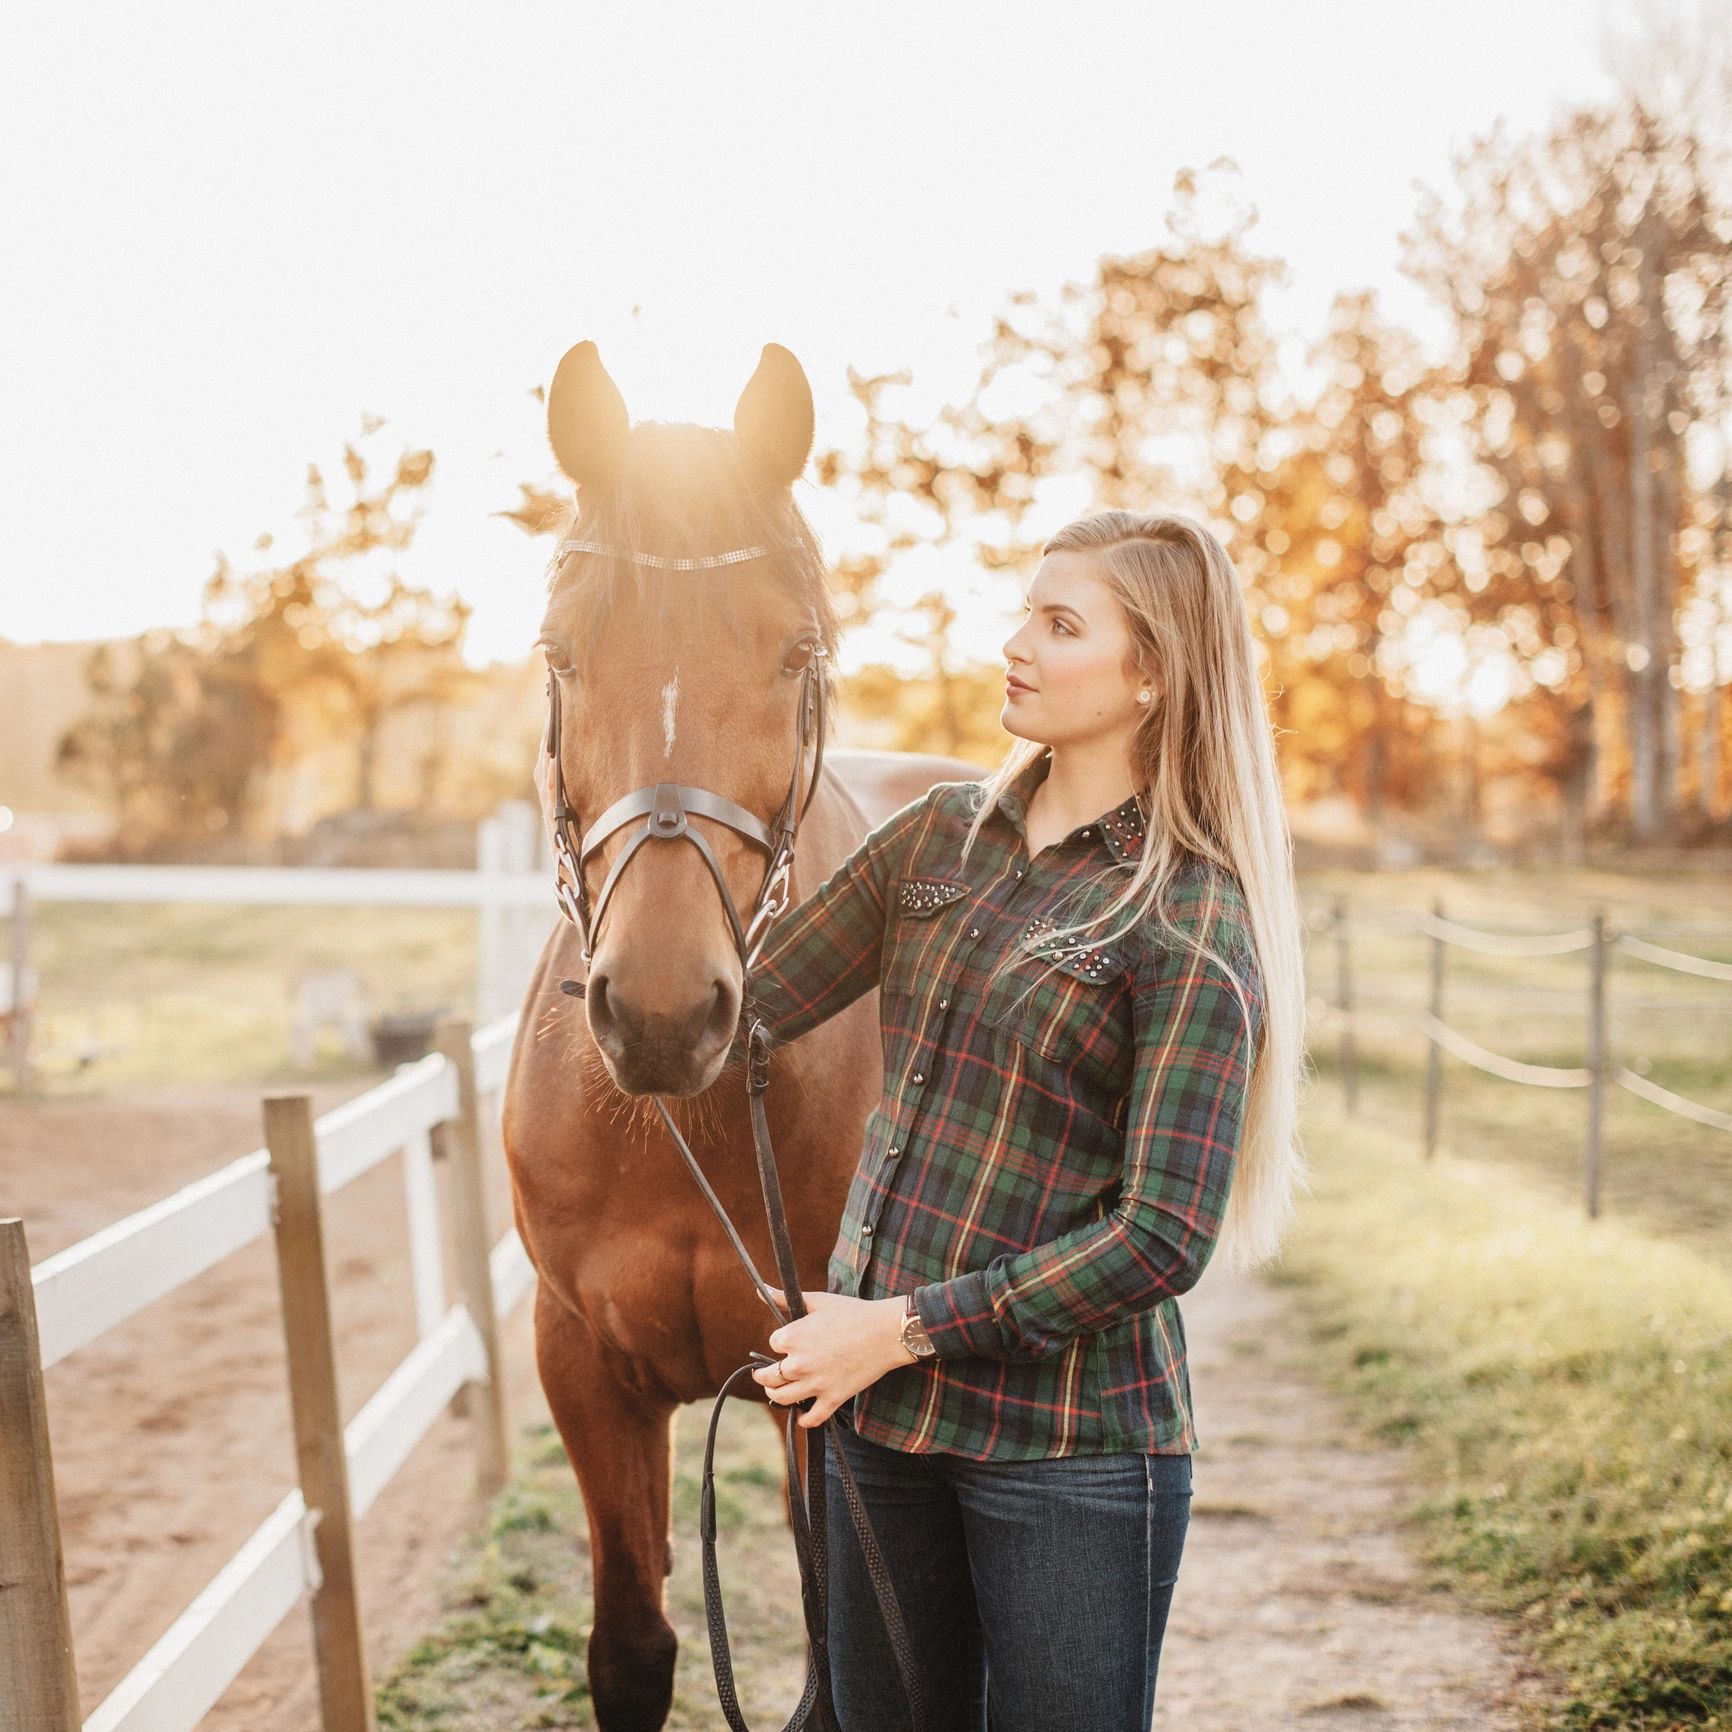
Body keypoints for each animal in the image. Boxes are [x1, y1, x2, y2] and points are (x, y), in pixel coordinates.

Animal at [501, 338, 980, 1732]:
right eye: (559, 652)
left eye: (793, 651)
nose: (664, 1011)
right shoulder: (581, 1363)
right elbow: (631, 1648)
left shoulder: (814, 1386)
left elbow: (836, 1671)